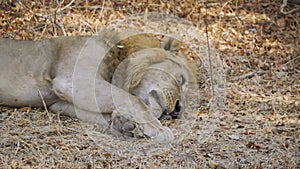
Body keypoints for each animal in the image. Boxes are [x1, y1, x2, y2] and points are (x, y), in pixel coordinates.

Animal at [0, 30, 196, 143]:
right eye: (181, 80)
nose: (178, 110)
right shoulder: (74, 80)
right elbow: (134, 100)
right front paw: (161, 130)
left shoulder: (60, 103)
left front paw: (124, 124)